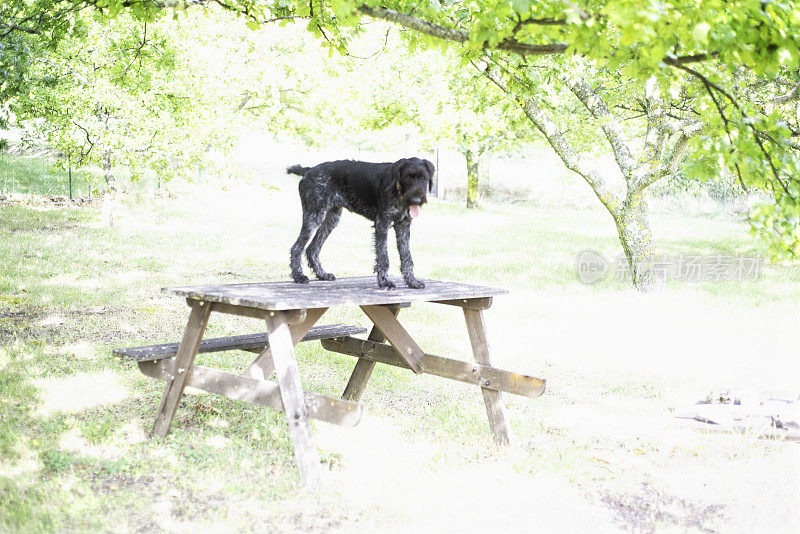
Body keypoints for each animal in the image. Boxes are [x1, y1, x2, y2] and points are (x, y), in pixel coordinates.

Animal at [288, 158, 434, 292]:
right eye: (407, 177)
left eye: (423, 178)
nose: (416, 200)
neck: (397, 191)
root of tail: (308, 170)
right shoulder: (382, 224)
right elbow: (383, 258)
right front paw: (385, 282)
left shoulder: (403, 226)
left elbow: (407, 257)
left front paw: (412, 281)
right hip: (314, 216)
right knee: (296, 248)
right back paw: (298, 276)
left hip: (330, 219)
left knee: (312, 249)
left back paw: (322, 274)